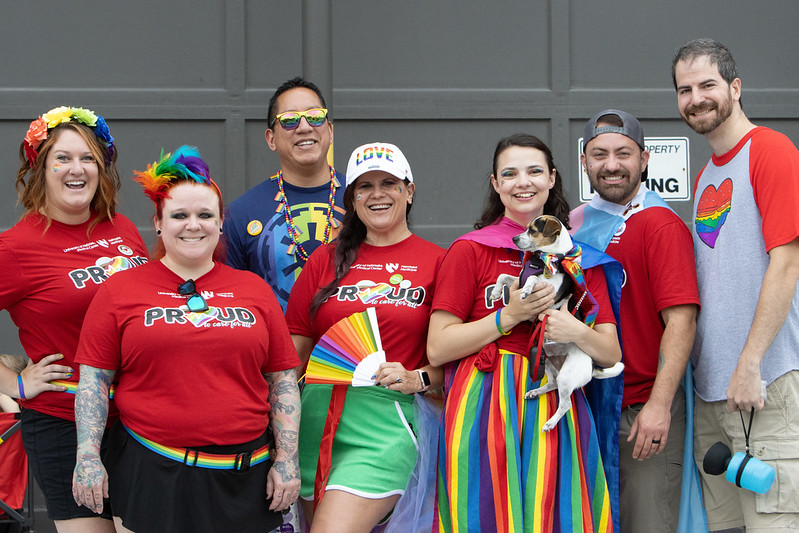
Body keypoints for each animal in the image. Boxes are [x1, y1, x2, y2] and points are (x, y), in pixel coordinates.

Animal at [488, 214, 624, 430]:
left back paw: (550, 423)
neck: (543, 259)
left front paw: (527, 290)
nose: (514, 239)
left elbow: (533, 281)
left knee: (566, 403)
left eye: (533, 230)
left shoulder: (549, 288)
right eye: (525, 228)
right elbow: (504, 276)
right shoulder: (517, 280)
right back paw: (535, 392)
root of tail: (592, 366)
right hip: (547, 364)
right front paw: (495, 292)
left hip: (567, 376)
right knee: (552, 384)